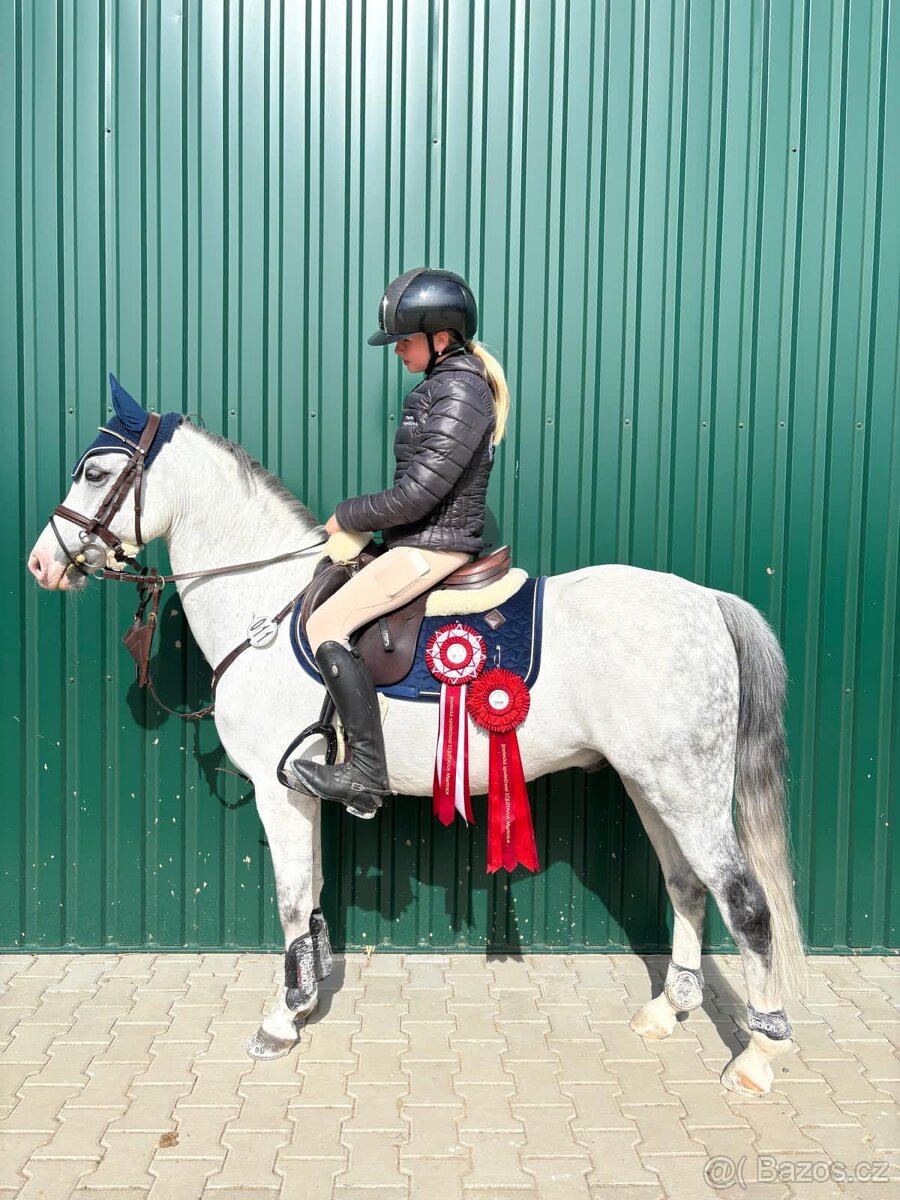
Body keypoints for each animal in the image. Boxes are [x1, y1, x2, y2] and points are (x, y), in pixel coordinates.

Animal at [27, 383, 806, 1095]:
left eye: (94, 473)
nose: (42, 565)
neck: (266, 606)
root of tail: (706, 601)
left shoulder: (280, 792)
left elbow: (290, 898)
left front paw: (281, 1021)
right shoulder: (303, 790)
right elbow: (312, 892)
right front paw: (307, 998)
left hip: (686, 787)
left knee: (745, 903)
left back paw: (759, 1056)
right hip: (651, 783)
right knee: (688, 885)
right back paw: (668, 1011)